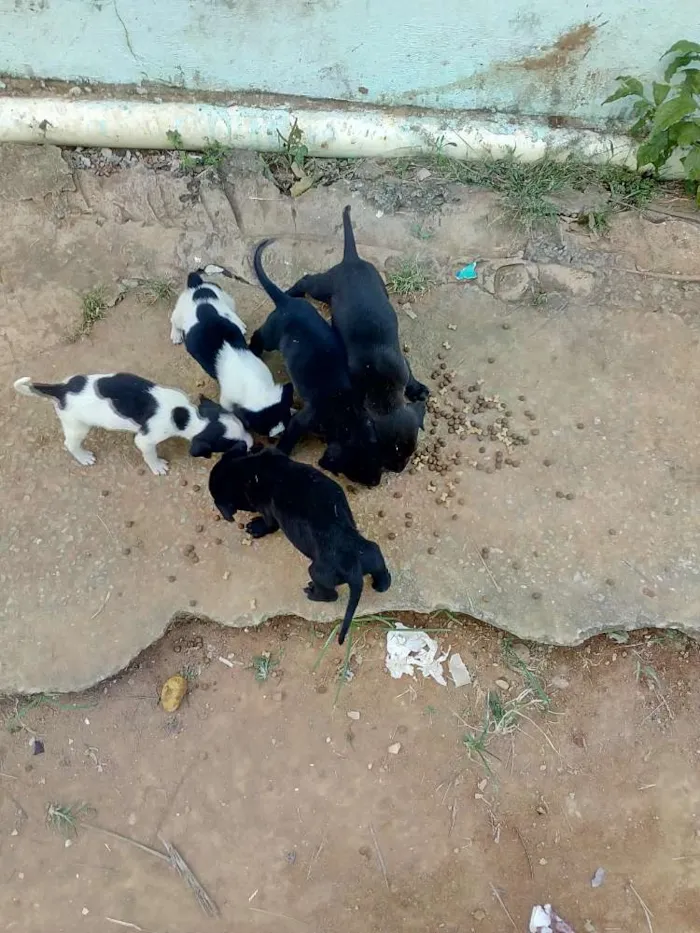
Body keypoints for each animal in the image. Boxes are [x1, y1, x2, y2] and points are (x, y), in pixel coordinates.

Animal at [13, 372, 252, 474]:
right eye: (231, 445)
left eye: (244, 429)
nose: (251, 445)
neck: (184, 414)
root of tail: (61, 389)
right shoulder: (146, 439)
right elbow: (149, 453)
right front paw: (157, 466)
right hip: (77, 426)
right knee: (69, 444)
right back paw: (83, 457)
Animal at [171, 268, 294, 438]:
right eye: (262, 429)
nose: (279, 434)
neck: (254, 384)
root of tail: (196, 286)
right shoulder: (227, 401)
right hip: (179, 314)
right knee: (174, 320)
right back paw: (176, 335)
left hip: (228, 300)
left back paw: (239, 323)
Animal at [209, 448, 394, 644]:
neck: (250, 470)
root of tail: (354, 571)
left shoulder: (267, 510)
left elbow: (268, 524)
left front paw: (255, 527)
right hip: (372, 554)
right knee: (381, 571)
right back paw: (381, 583)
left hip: (318, 572)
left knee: (331, 595)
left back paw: (312, 592)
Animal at [249, 237, 382, 488]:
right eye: (359, 465)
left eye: (376, 455)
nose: (376, 481)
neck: (345, 413)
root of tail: (286, 302)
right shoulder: (301, 420)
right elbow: (289, 439)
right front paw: (280, 452)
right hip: (272, 335)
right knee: (258, 335)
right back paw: (252, 350)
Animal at [288, 208, 430, 476]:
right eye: (388, 453)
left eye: (410, 452)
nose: (398, 469)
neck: (384, 394)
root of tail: (351, 260)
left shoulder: (403, 365)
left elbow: (411, 380)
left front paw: (418, 390)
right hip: (323, 287)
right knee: (307, 279)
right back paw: (292, 292)